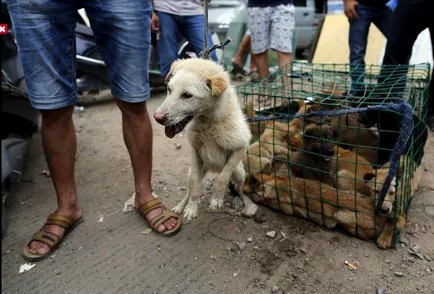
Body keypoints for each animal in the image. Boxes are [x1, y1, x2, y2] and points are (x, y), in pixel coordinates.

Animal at [153, 58, 258, 220]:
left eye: (187, 95)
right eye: (169, 89)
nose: (157, 118)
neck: (208, 122)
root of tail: (213, 168)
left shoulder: (240, 147)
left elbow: (222, 179)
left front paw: (216, 199)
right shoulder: (196, 152)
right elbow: (194, 184)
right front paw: (190, 208)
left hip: (239, 173)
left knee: (239, 189)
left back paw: (247, 204)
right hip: (194, 170)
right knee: (190, 188)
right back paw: (180, 206)